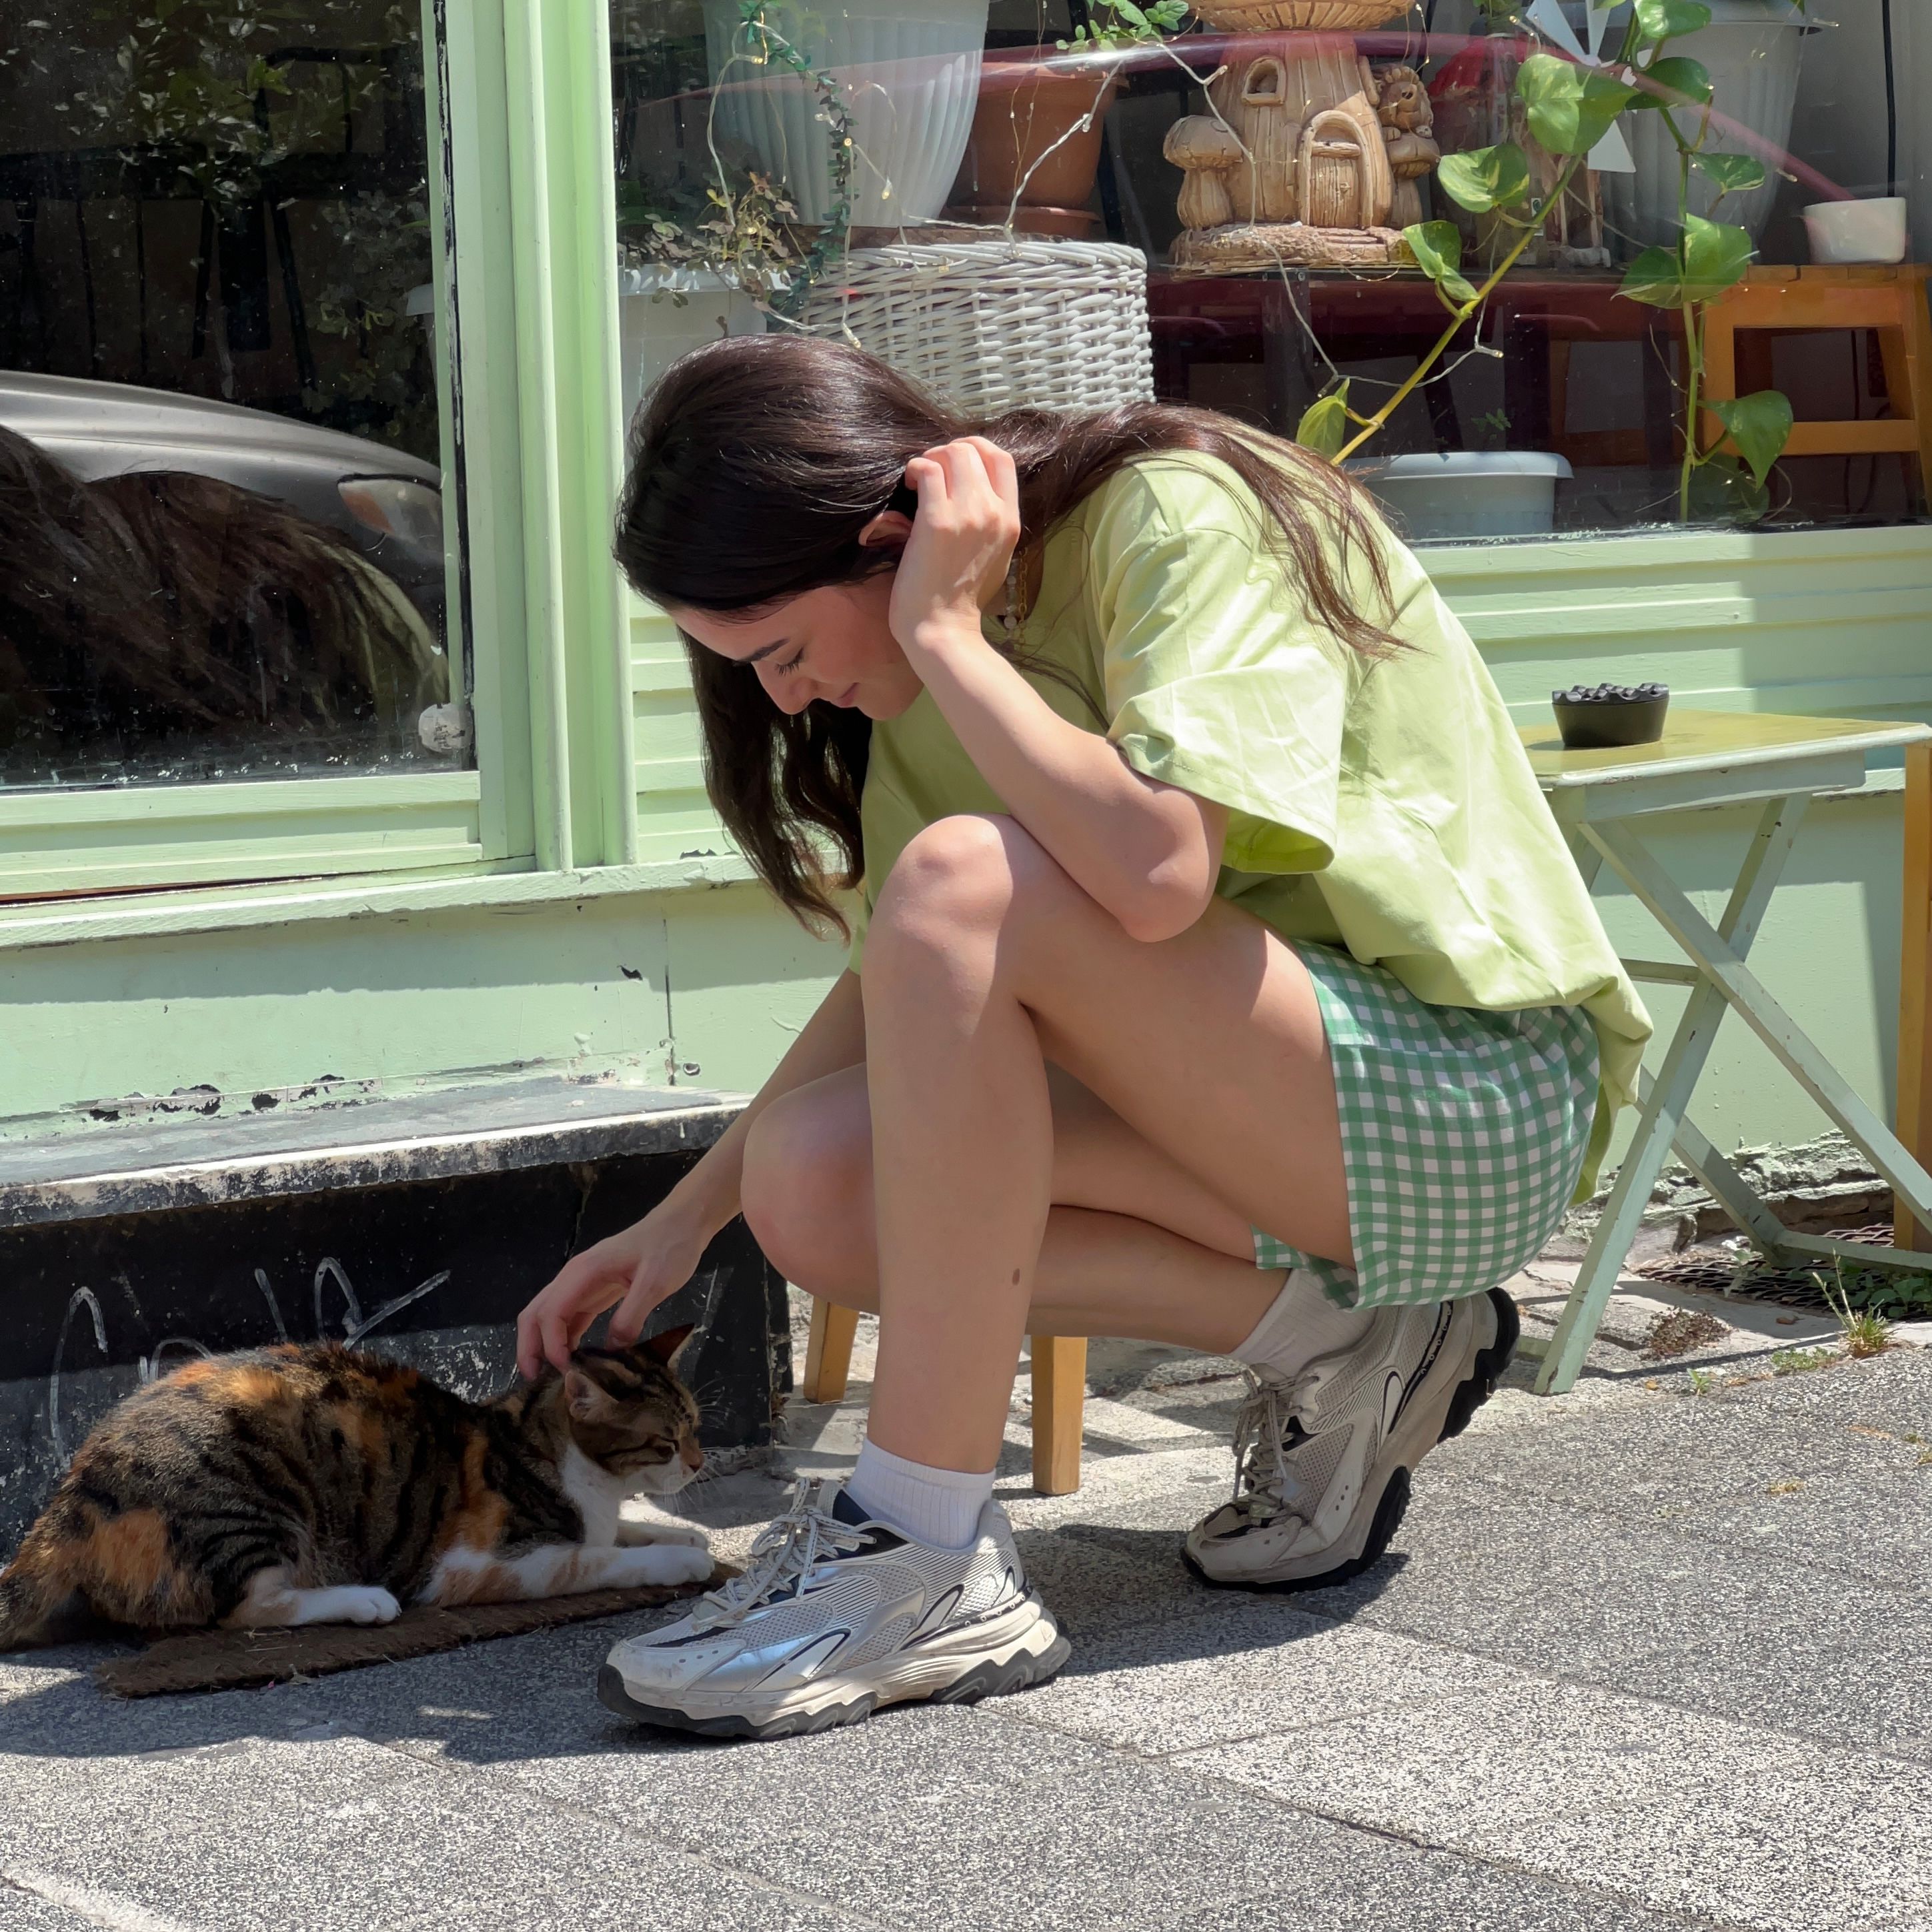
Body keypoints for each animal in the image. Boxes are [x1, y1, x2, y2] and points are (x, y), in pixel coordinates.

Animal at [0, 1336, 714, 1653]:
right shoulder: (479, 1565)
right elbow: (598, 1558)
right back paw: (363, 1599)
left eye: (697, 1426)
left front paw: (685, 1533)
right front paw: (680, 1558)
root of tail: (72, 1493)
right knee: (248, 1608)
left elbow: (624, 1528)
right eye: (666, 1441)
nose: (700, 1461)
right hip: (254, 1503)